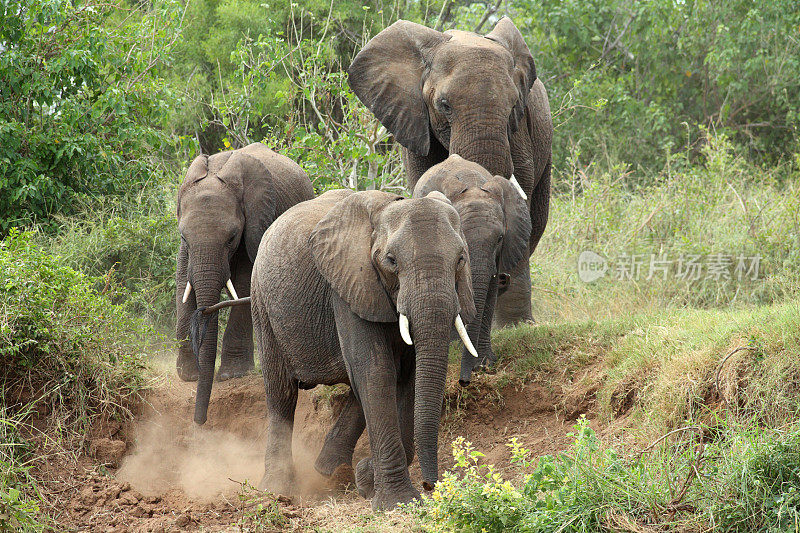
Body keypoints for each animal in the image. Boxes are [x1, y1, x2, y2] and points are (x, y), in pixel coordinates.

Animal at [177, 140, 314, 424]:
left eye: (231, 238)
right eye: (183, 236)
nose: (199, 422)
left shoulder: (256, 221)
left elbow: (243, 283)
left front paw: (232, 375)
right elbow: (183, 280)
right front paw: (187, 375)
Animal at [250, 189, 476, 510]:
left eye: (460, 260)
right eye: (391, 261)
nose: (430, 485)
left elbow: (407, 377)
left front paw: (367, 479)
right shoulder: (349, 285)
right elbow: (376, 371)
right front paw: (396, 502)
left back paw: (330, 472)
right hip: (262, 302)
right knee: (281, 394)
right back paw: (277, 489)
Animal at [346, 16, 552, 326]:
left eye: (514, 105)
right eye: (443, 105)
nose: (501, 279)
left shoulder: (519, 134)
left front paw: (515, 326)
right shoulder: (415, 121)